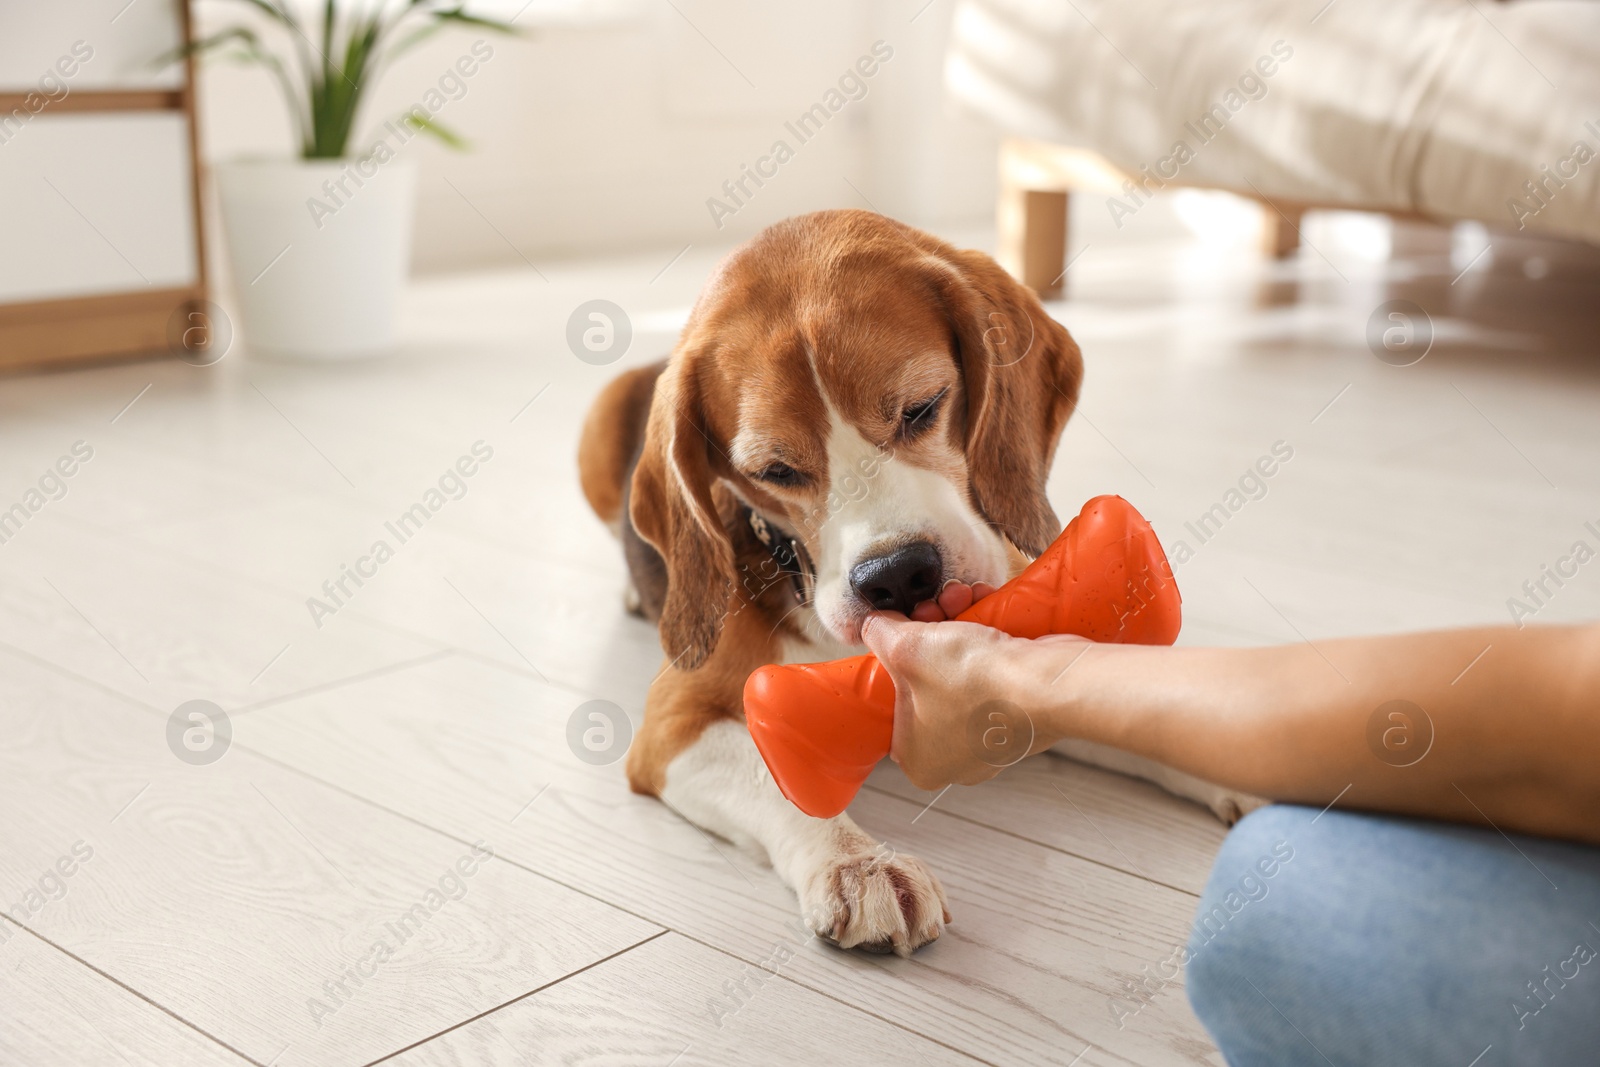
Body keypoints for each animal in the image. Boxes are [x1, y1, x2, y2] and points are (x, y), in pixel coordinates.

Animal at [576, 211, 1248, 959]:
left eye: (922, 407)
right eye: (775, 471)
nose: (897, 575)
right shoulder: (673, 726)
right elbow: (778, 781)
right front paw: (857, 862)